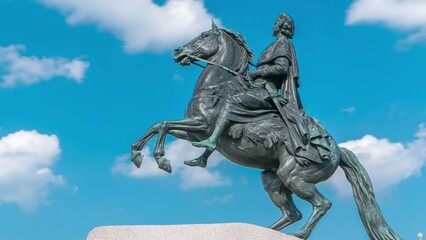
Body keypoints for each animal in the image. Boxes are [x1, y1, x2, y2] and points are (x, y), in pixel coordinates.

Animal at [130, 23, 400, 240]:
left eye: (204, 35)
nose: (177, 52)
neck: (217, 86)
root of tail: (337, 150)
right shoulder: (192, 131)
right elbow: (159, 125)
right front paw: (137, 154)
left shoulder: (202, 125)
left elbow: (165, 125)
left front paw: (162, 160)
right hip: (274, 179)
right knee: (292, 213)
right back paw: (268, 230)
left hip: (295, 177)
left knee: (322, 204)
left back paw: (299, 233)